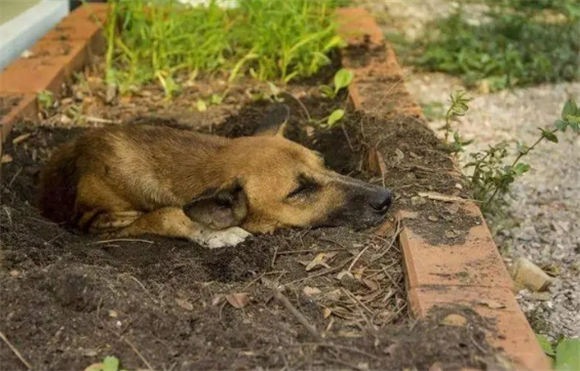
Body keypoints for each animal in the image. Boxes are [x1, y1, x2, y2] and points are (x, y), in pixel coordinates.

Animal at [39, 106, 394, 248]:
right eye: (299, 190)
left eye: (324, 163)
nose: (386, 199)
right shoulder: (95, 224)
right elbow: (165, 214)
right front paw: (213, 232)